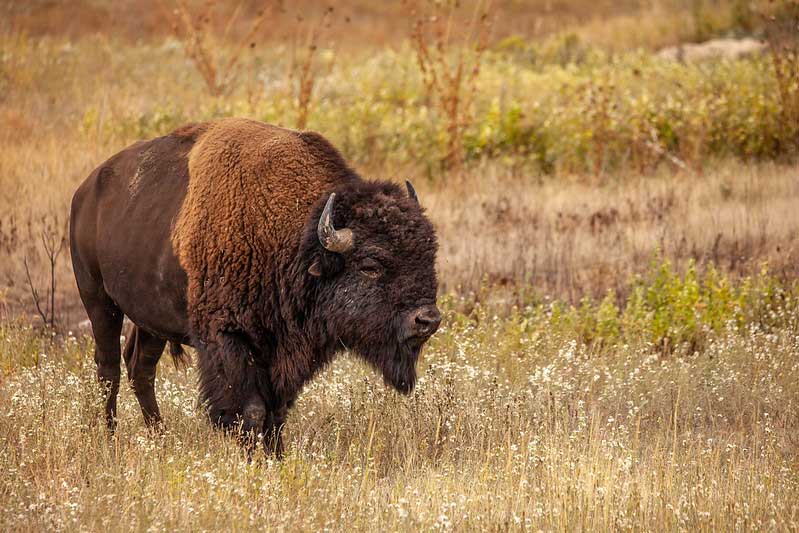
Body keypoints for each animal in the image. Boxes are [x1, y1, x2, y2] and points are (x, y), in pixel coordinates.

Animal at [69, 117, 440, 454]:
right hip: (99, 300)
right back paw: (110, 440)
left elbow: (276, 412)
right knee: (108, 370)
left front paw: (276, 456)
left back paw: (159, 439)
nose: (428, 320)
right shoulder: (229, 339)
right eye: (370, 266)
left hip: (150, 319)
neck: (295, 237)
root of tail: (85, 193)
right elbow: (250, 410)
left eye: (429, 255)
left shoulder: (281, 351)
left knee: (140, 367)